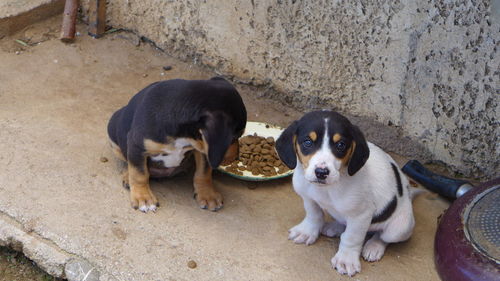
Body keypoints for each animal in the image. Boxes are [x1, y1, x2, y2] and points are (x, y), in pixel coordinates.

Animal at [107, 76, 246, 212]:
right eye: (234, 137)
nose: (236, 156)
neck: (184, 137)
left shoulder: (204, 148)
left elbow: (204, 172)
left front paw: (208, 195)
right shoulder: (137, 145)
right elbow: (139, 174)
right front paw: (144, 198)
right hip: (113, 132)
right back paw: (127, 176)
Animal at [276, 110, 416, 276]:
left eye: (340, 145)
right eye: (308, 142)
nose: (321, 173)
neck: (328, 188)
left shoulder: (361, 215)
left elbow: (351, 237)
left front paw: (346, 259)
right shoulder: (308, 198)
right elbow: (313, 215)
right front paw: (307, 231)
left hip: (400, 228)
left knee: (382, 236)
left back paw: (374, 246)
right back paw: (335, 227)